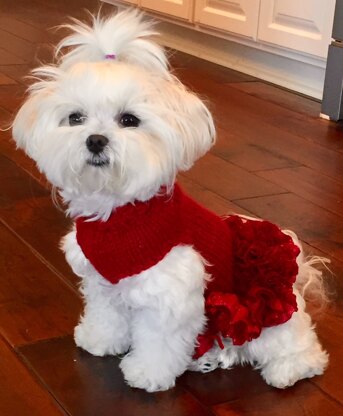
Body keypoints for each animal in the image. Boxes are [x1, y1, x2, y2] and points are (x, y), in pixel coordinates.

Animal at [12, 10, 330, 394]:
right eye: (75, 118)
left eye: (129, 120)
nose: (95, 140)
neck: (119, 213)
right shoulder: (102, 282)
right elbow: (106, 314)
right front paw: (100, 340)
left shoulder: (169, 294)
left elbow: (159, 341)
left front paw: (147, 374)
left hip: (270, 315)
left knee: (297, 345)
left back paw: (289, 369)